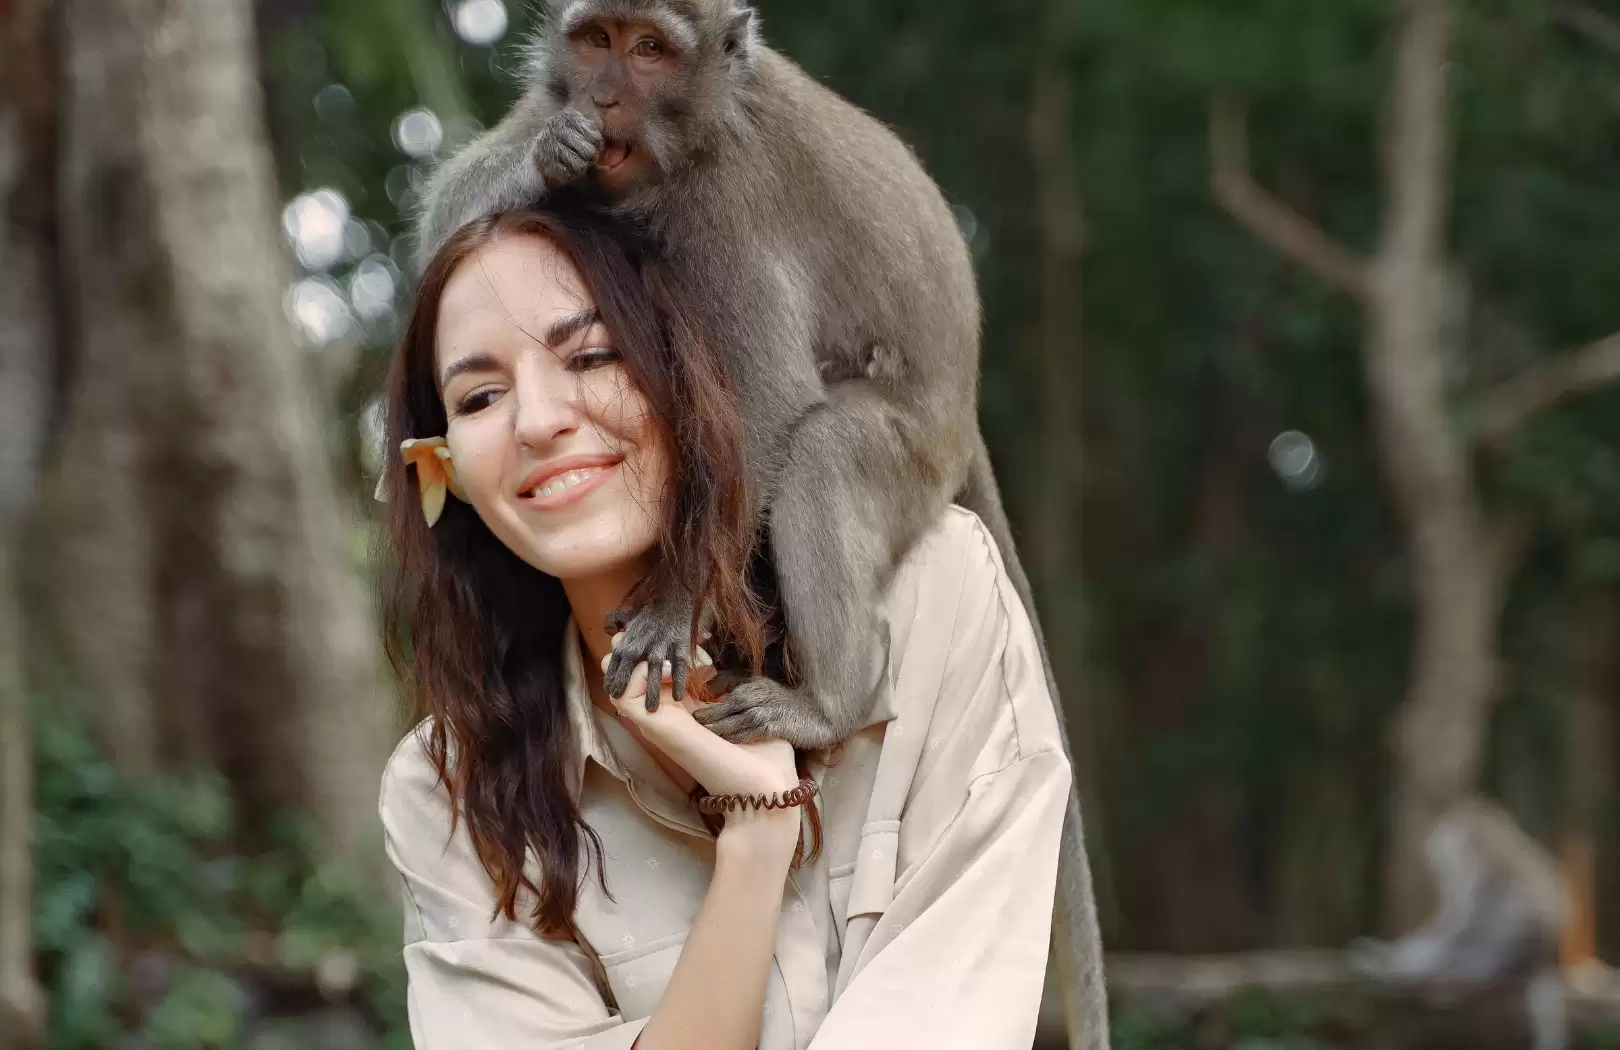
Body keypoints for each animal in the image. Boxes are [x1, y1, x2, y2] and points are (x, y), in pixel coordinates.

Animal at [1351, 797, 1570, 1050]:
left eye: (1440, 837)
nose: (1430, 849)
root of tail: (1546, 956)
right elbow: (1449, 922)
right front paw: (1391, 953)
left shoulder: (1475, 870)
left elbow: (1463, 921)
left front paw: (1400, 966)